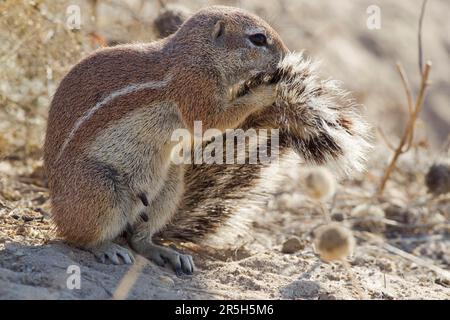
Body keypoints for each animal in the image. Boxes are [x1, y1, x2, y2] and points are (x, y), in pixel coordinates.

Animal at [43, 5, 288, 276]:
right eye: (258, 39)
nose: (286, 55)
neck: (200, 54)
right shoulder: (194, 86)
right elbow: (213, 120)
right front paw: (268, 90)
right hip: (99, 189)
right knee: (77, 237)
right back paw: (106, 248)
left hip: (168, 188)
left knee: (138, 240)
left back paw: (166, 253)